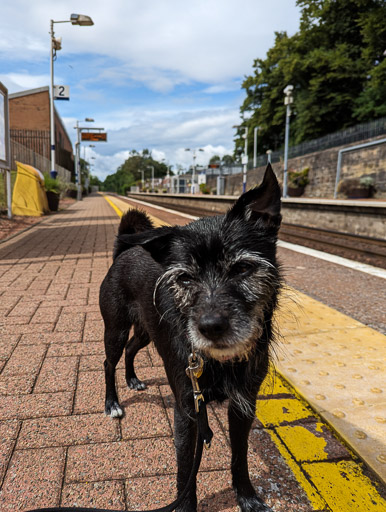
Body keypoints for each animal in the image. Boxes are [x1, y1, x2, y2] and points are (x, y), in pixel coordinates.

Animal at [99, 165, 280, 512]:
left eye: (243, 268)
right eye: (184, 277)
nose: (211, 326)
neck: (220, 362)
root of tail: (123, 252)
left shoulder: (244, 406)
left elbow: (240, 457)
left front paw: (247, 497)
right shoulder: (186, 411)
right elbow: (186, 472)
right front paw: (185, 506)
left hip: (146, 332)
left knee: (131, 350)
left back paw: (133, 379)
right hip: (115, 329)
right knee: (108, 362)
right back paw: (112, 402)